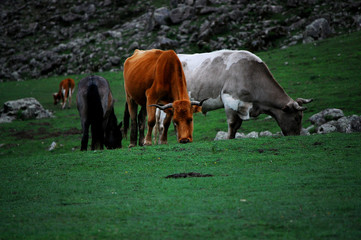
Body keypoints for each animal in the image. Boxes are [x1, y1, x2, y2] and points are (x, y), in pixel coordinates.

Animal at [156, 50, 310, 139]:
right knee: (163, 124)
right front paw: (229, 139)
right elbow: (232, 123)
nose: (296, 136)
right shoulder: (230, 99)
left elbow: (237, 125)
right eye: (297, 118)